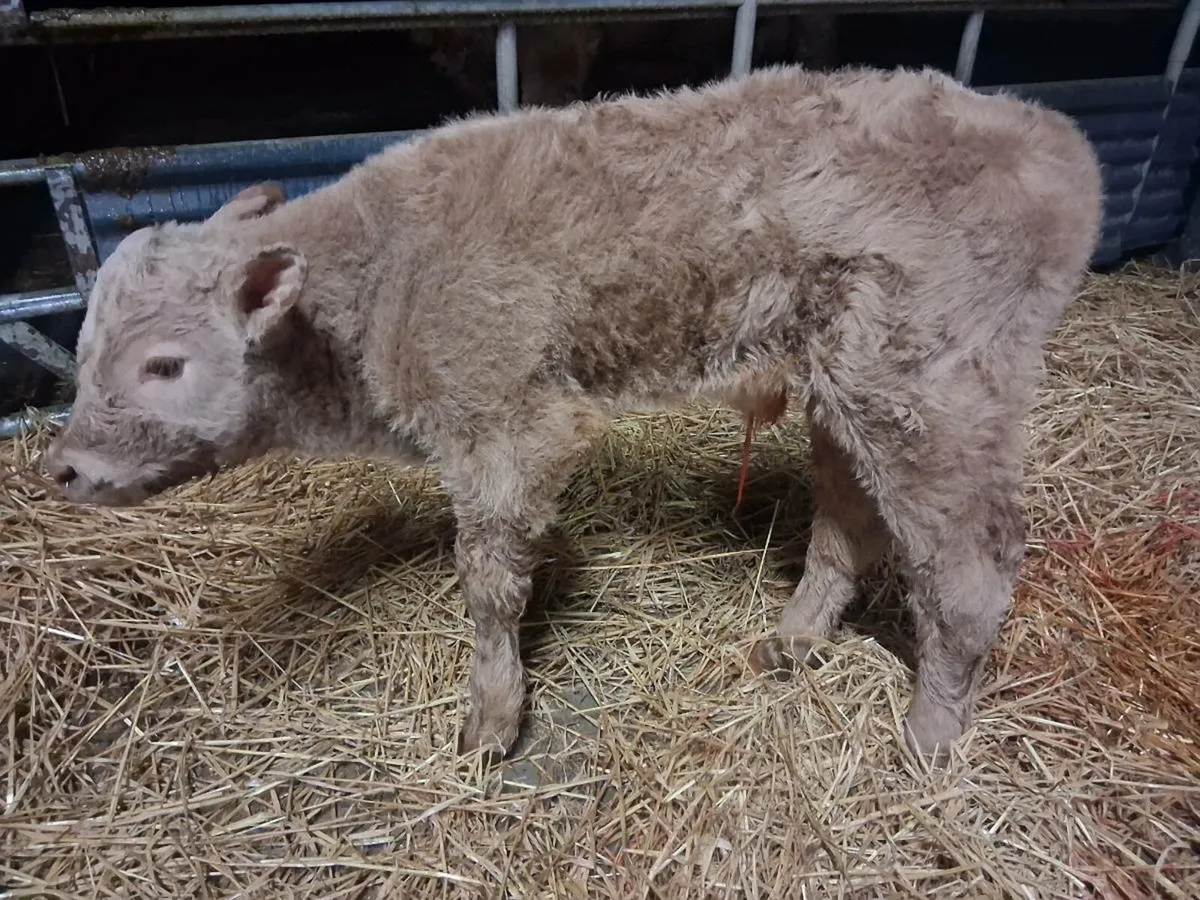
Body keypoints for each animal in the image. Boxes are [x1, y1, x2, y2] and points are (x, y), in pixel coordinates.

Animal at [42, 65, 1104, 767]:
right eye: (83, 352)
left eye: (163, 363)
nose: (64, 468)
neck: (380, 276)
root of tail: (1047, 134)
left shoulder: (507, 423)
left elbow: (487, 585)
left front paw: (490, 720)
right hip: (846, 388)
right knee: (850, 518)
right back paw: (792, 640)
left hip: (930, 388)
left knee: (968, 564)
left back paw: (930, 736)